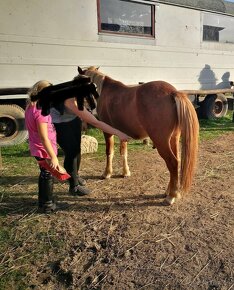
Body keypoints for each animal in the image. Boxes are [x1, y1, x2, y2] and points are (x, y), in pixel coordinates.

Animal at [77, 67, 198, 205]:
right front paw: (125, 172)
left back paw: (171, 196)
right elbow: (123, 152)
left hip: (162, 141)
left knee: (172, 163)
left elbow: (109, 152)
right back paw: (169, 192)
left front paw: (107, 173)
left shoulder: (107, 133)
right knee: (176, 163)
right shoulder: (122, 133)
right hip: (173, 139)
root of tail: (173, 92)